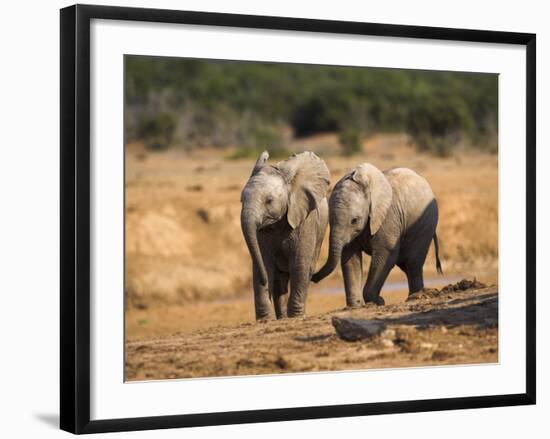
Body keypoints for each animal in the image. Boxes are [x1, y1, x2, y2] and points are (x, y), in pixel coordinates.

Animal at [240, 151, 328, 320]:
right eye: (241, 200)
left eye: (269, 200)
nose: (264, 282)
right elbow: (263, 262)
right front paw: (265, 320)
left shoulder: (305, 221)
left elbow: (299, 263)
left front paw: (296, 316)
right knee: (279, 280)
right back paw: (282, 317)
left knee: (306, 271)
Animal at [314, 163, 444, 308]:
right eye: (330, 220)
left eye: (354, 220)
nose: (312, 276)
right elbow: (350, 257)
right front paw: (356, 305)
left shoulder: (388, 216)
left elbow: (385, 254)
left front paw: (377, 301)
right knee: (406, 265)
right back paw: (417, 295)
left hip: (425, 224)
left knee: (413, 262)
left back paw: (416, 296)